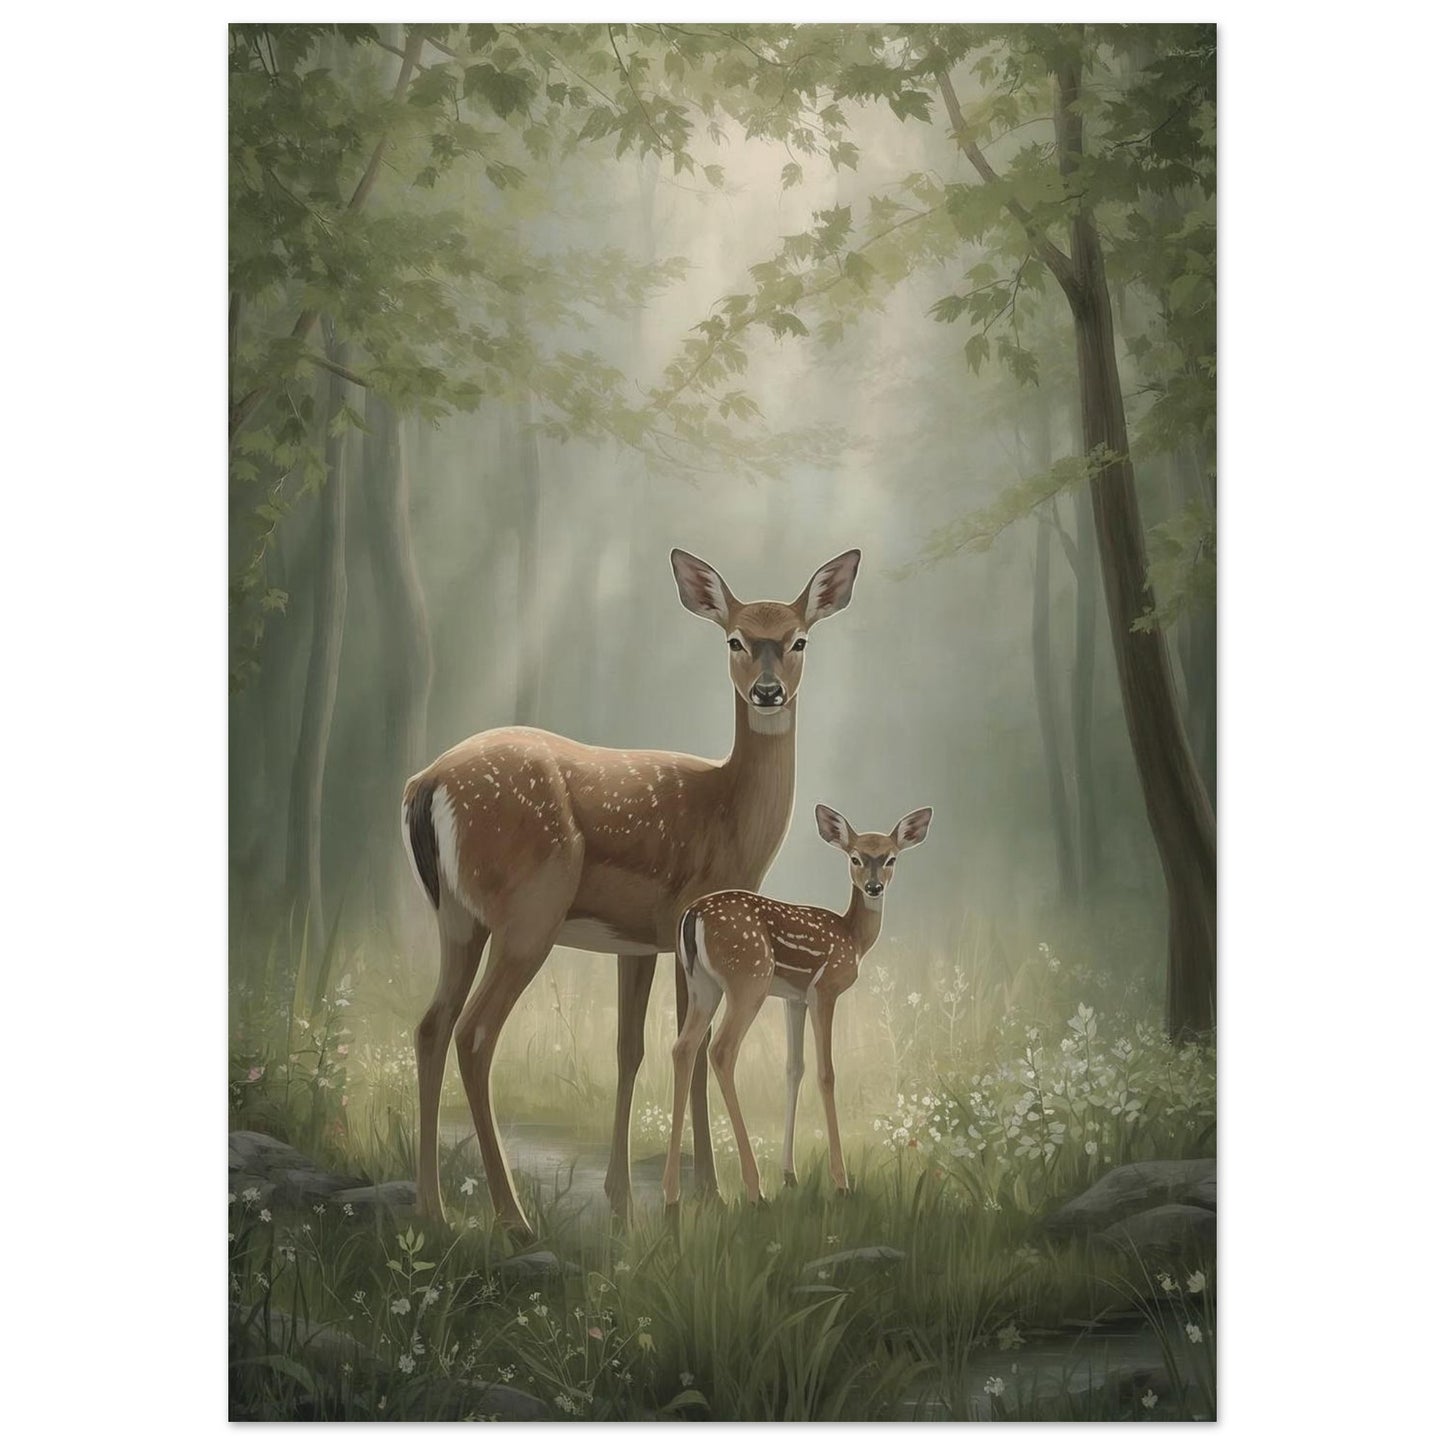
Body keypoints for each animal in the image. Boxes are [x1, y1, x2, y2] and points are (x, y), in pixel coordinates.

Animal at [401, 548, 861, 1239]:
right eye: (734, 639)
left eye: (799, 638)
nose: (768, 691)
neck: (729, 815)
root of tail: (424, 784)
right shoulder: (686, 917)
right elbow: (692, 1050)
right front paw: (709, 1193)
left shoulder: (638, 941)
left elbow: (629, 1051)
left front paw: (622, 1201)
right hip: (528, 912)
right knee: (475, 1034)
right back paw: (513, 1217)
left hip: (456, 916)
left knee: (432, 1025)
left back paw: (433, 1209)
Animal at [662, 802, 933, 1214]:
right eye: (855, 857)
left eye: (891, 858)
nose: (874, 887)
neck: (853, 938)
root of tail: (691, 915)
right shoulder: (825, 990)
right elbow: (826, 1073)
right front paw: (841, 1182)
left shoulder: (795, 998)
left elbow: (794, 1068)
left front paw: (790, 1175)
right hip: (748, 980)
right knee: (721, 1049)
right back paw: (754, 1190)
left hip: (701, 985)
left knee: (683, 1048)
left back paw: (672, 1195)